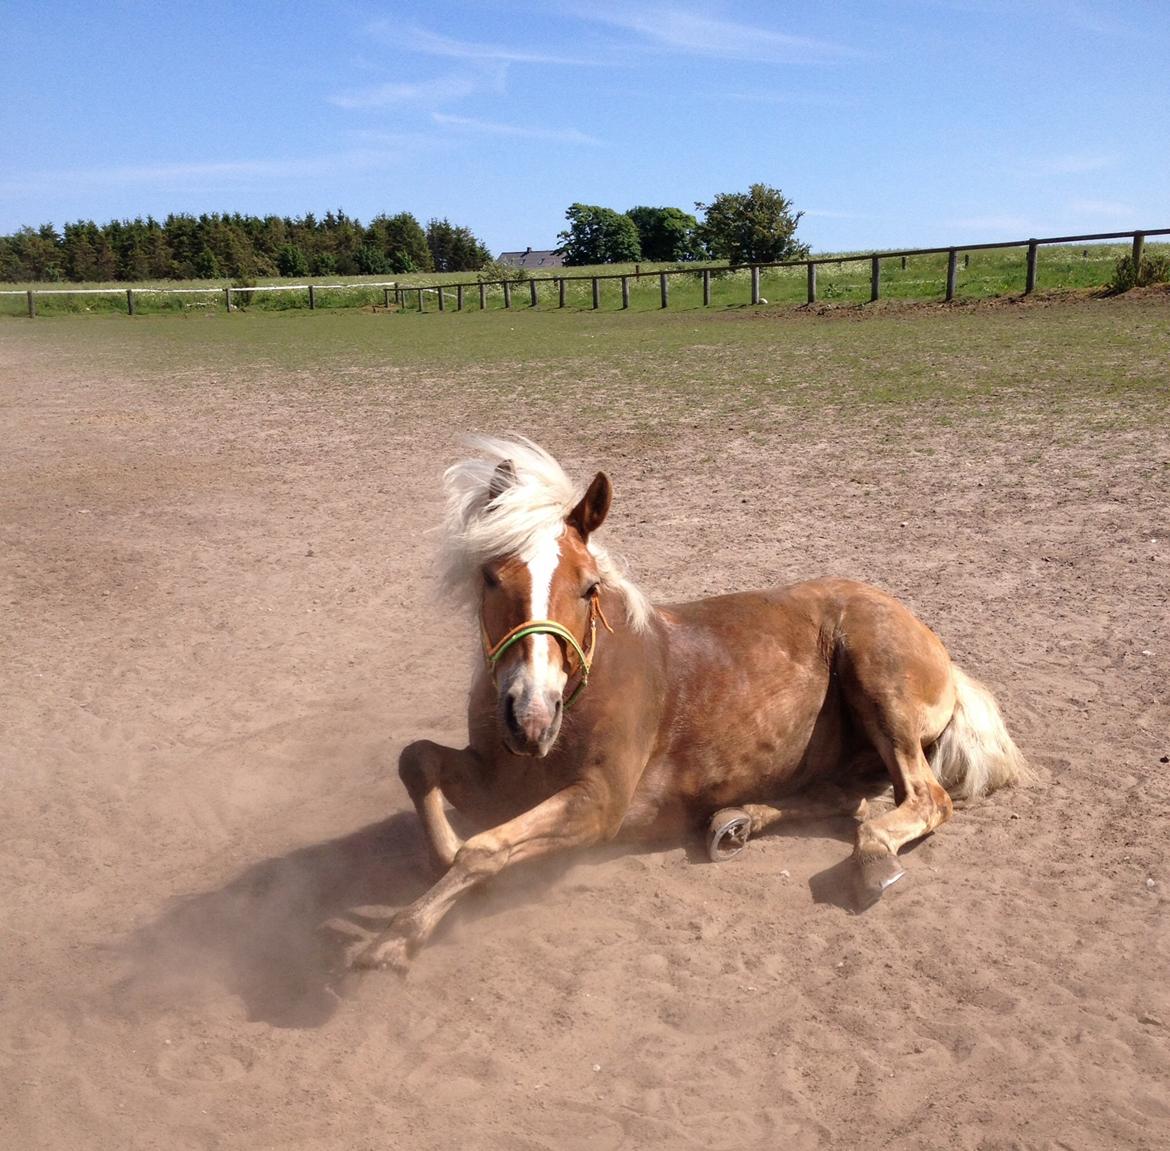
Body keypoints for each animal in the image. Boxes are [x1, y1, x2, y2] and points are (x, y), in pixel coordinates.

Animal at [351, 437, 1029, 973]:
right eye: (491, 577)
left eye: (588, 587)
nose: (531, 717)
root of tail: (931, 639)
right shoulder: (495, 774)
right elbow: (418, 762)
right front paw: (435, 865)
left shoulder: (599, 804)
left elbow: (483, 848)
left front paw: (396, 939)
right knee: (848, 797)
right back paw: (737, 821)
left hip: (878, 683)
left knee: (923, 797)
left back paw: (868, 860)